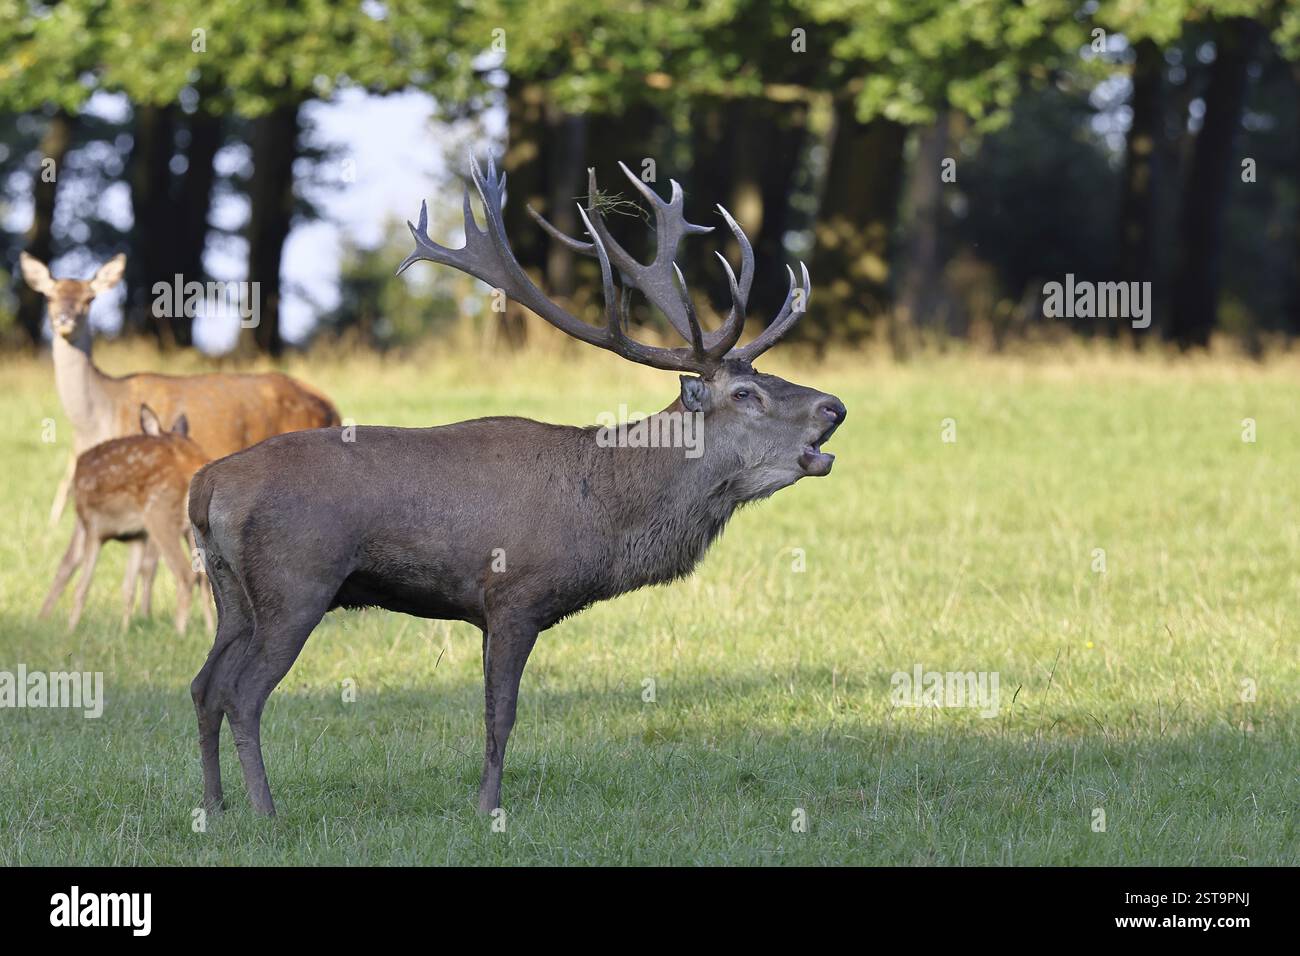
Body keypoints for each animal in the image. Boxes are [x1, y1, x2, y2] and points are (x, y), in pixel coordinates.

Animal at [41, 404, 215, 633]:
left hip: (159, 513)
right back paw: (210, 629)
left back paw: (179, 632)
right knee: (203, 575)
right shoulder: (136, 536)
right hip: (187, 528)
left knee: (186, 574)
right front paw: (124, 630)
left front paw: (70, 631)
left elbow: (81, 585)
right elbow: (128, 588)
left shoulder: (92, 526)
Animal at [188, 156, 846, 816]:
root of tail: (207, 484)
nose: (835, 406)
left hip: (230, 592)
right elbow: (500, 715)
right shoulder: (514, 596)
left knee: (203, 684)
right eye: (745, 393)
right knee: (243, 692)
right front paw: (488, 808)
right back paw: (265, 812)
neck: (605, 515)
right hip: (296, 582)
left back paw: (215, 808)